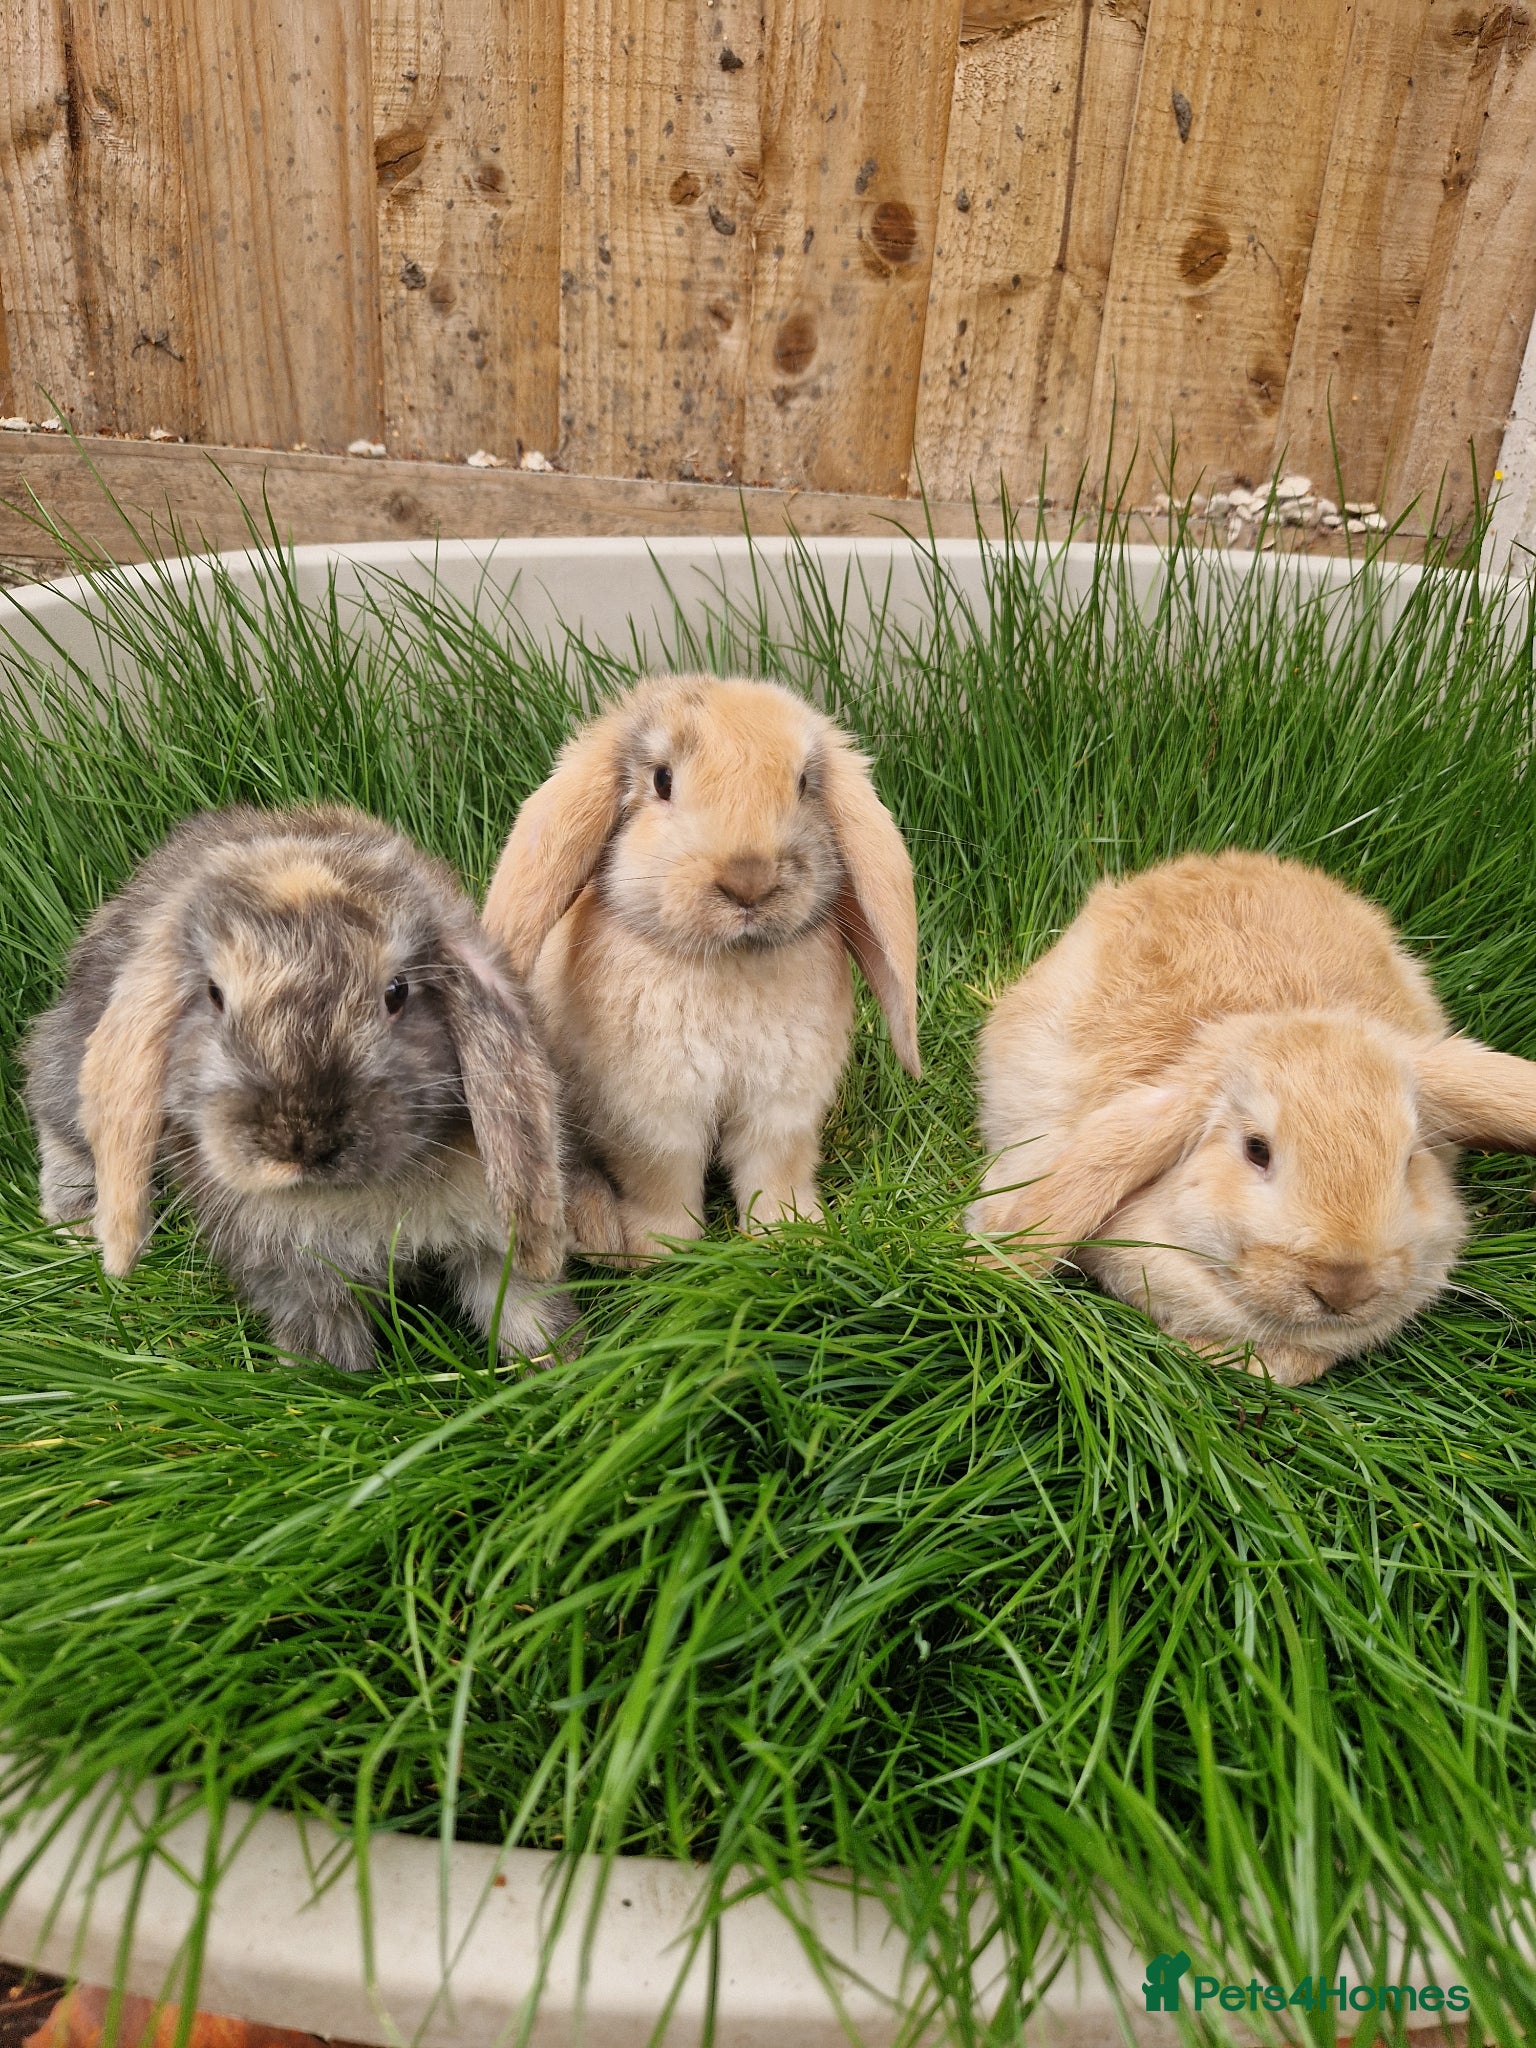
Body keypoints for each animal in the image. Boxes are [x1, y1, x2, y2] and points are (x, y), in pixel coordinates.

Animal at [22, 804, 574, 1374]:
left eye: (397, 991)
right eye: (214, 994)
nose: (302, 1142)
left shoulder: (494, 1240)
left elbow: (524, 1311)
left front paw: (553, 1367)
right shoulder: (299, 1278)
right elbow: (327, 1339)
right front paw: (321, 1378)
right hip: (69, 1070)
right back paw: (77, 1223)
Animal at [482, 674, 919, 1259]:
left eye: (804, 783)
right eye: (662, 780)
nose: (749, 880)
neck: (730, 961)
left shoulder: (783, 1108)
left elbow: (774, 1172)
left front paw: (791, 1235)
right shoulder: (652, 1117)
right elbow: (663, 1179)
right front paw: (658, 1250)